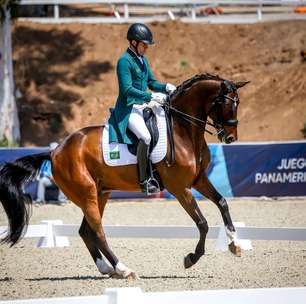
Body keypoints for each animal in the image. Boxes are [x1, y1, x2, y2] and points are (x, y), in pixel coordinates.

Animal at [0, 73, 249, 278]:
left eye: (238, 103)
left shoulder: (198, 180)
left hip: (100, 194)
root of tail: (55, 151)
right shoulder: (180, 188)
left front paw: (234, 243)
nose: (230, 138)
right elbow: (202, 223)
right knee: (97, 231)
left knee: (86, 231)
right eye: (226, 103)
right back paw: (123, 269)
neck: (182, 131)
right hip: (87, 195)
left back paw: (107, 269)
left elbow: (222, 202)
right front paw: (191, 258)